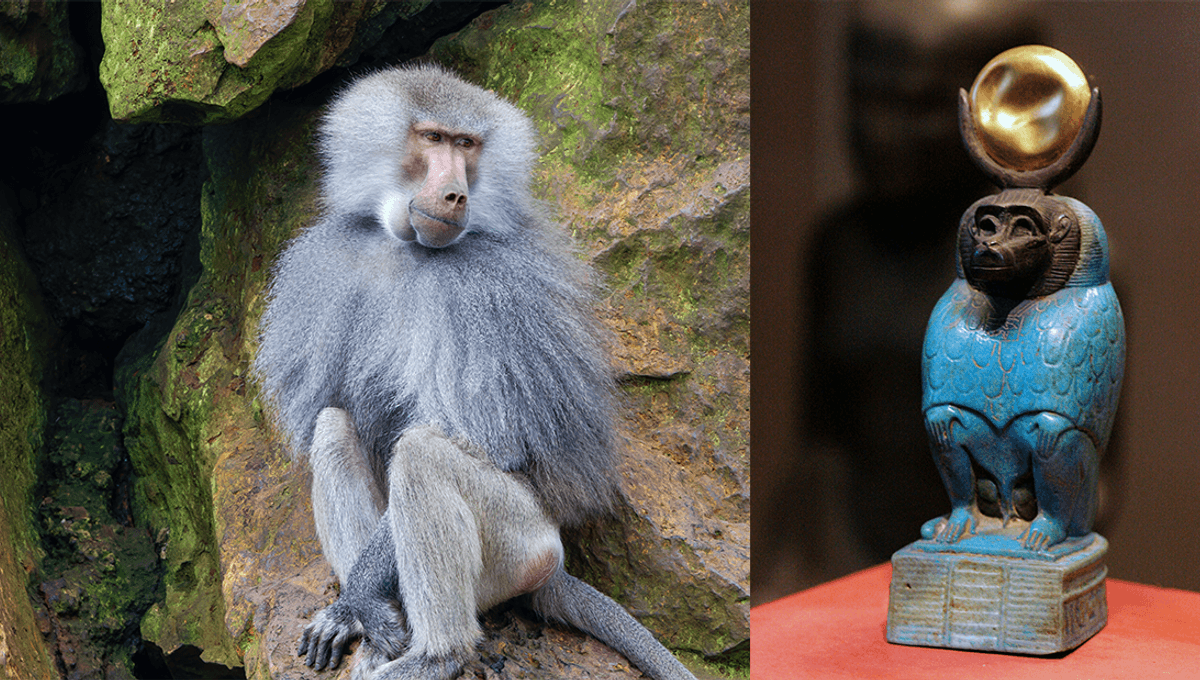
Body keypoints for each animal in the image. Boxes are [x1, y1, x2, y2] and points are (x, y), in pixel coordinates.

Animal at [253, 64, 697, 680]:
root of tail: (555, 567)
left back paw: (435, 656)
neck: (410, 252)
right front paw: (351, 610)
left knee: (422, 456)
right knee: (334, 426)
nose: (455, 193)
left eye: (467, 146)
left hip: (524, 547)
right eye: (433, 138)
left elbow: (479, 438)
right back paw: (375, 631)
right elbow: (334, 412)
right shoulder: (327, 267)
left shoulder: (483, 296)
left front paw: (356, 597)